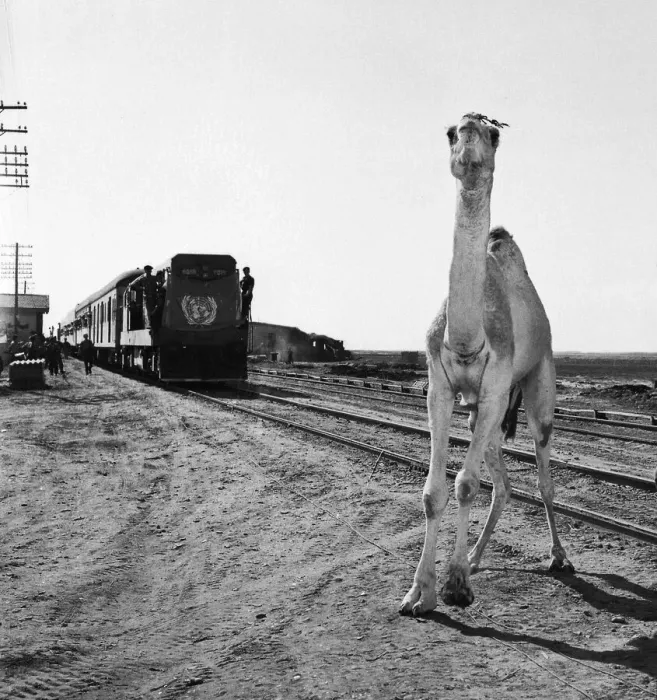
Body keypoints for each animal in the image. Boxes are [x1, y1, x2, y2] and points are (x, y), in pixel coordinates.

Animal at [400, 113, 574, 615]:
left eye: (494, 134)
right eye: (449, 133)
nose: (470, 131)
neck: (466, 337)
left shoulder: (496, 386)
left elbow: (464, 485)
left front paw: (455, 586)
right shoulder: (439, 389)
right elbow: (434, 491)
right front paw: (419, 593)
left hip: (537, 385)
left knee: (542, 474)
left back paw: (558, 556)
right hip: (482, 412)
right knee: (503, 483)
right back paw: (477, 557)